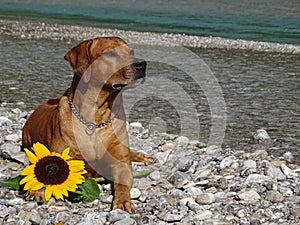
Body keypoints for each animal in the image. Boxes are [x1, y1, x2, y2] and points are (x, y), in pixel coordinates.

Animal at [22, 37, 152, 213]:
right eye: (110, 53)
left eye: (131, 52)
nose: (142, 64)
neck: (95, 119)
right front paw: (36, 190)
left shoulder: (121, 163)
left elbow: (123, 184)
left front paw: (123, 201)